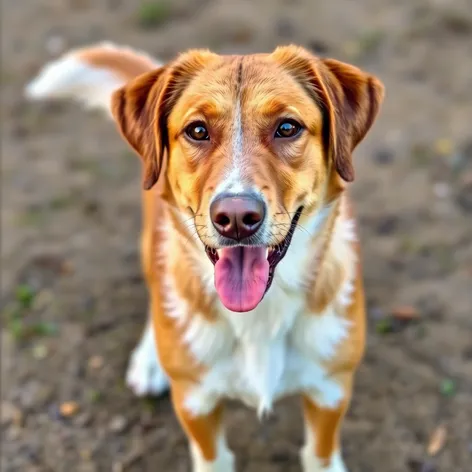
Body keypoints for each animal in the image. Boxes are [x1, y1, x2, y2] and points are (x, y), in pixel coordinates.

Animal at [26, 42, 384, 470]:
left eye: (287, 127)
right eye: (197, 130)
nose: (236, 218)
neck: (258, 317)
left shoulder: (330, 389)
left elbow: (319, 455)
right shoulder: (195, 403)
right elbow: (214, 458)